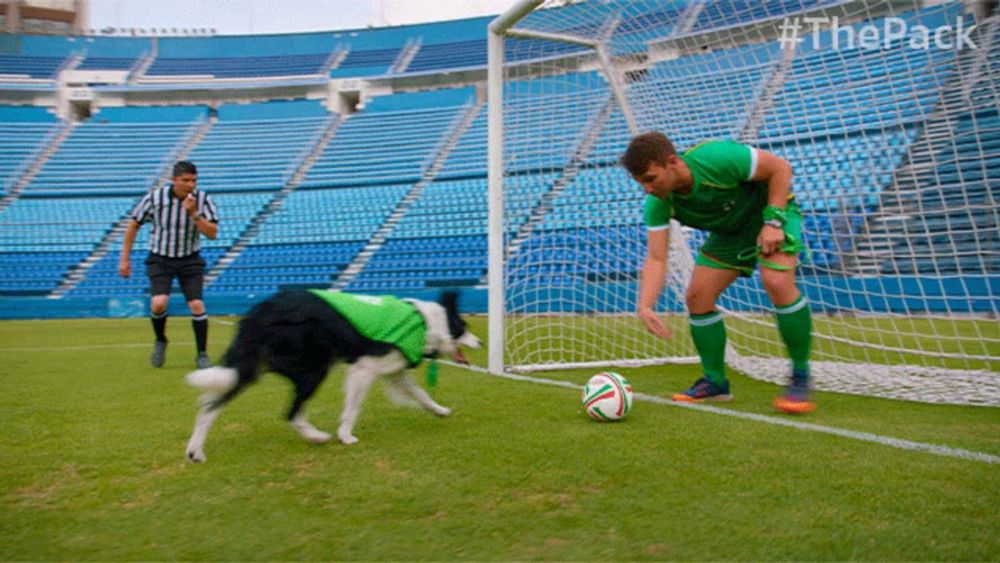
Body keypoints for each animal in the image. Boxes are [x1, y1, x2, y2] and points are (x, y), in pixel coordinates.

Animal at [184, 288, 480, 464]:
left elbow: (420, 394)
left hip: (248, 370)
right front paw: (346, 436)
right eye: (464, 326)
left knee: (209, 407)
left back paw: (195, 451)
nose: (480, 342)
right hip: (313, 369)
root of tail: (259, 311)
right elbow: (353, 408)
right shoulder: (363, 369)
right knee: (291, 413)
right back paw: (317, 437)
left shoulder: (393, 370)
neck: (427, 322)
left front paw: (440, 410)